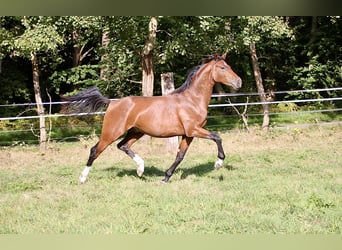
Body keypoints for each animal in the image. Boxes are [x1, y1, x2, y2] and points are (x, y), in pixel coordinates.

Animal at [62, 53, 242, 183]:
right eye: (222, 67)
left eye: (229, 66)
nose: (239, 82)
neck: (192, 100)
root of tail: (112, 102)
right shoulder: (194, 130)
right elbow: (217, 137)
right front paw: (218, 163)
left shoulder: (188, 134)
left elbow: (180, 156)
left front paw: (166, 177)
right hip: (111, 132)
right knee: (95, 150)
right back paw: (82, 178)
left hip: (136, 132)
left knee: (123, 146)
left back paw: (141, 169)